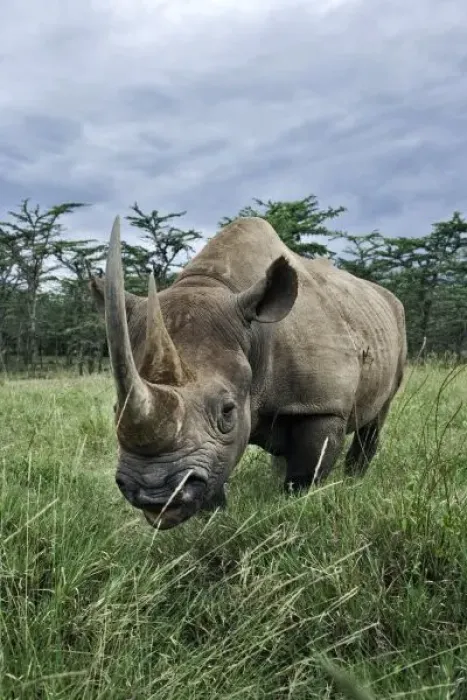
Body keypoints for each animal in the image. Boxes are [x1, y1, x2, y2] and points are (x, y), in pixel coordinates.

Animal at [90, 215, 407, 530]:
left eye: (227, 411)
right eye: (115, 410)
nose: (154, 494)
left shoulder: (322, 405)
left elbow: (305, 475)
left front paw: (296, 509)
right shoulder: (216, 445)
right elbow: (218, 471)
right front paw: (213, 522)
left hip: (395, 321)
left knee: (379, 413)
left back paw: (354, 482)